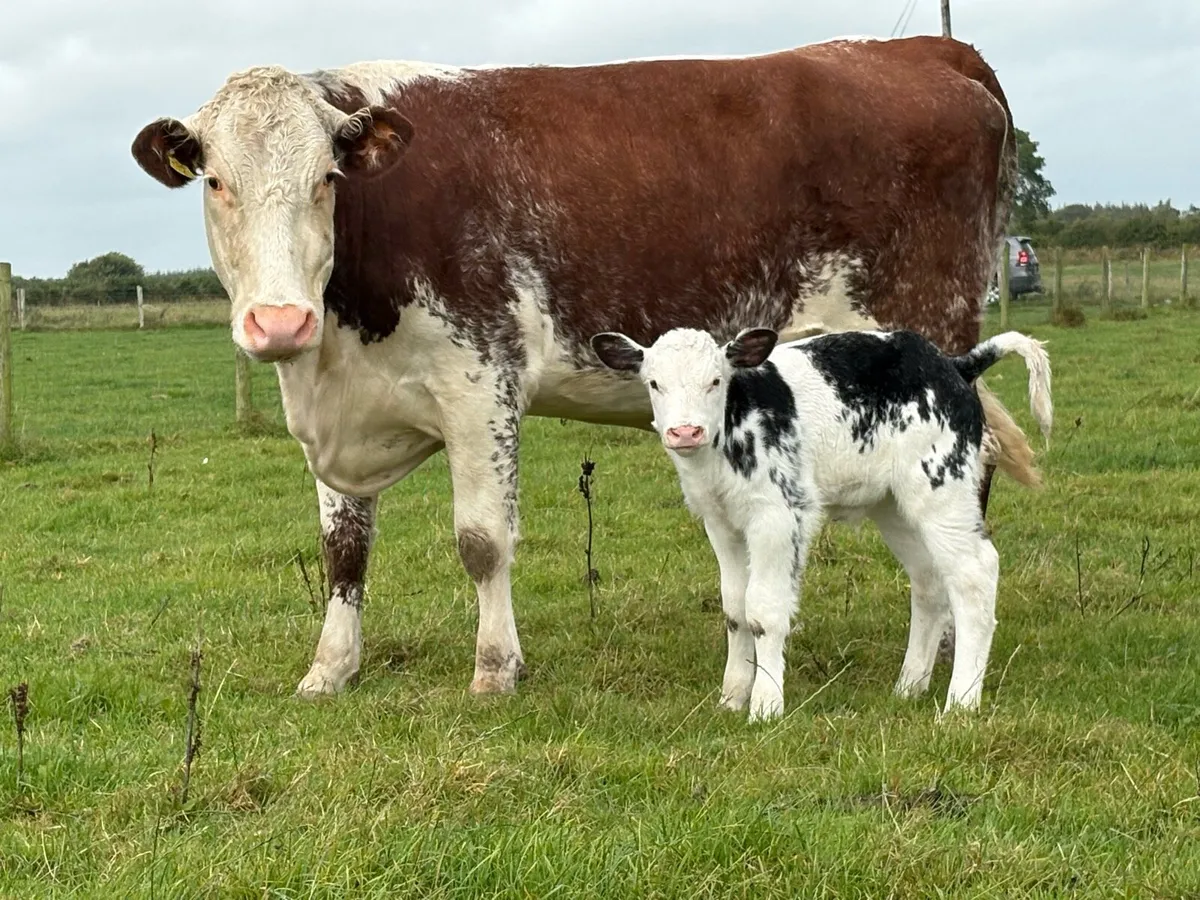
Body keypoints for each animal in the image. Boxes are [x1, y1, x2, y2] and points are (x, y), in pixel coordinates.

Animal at [590, 324, 1053, 720]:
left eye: (716, 381)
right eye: (654, 383)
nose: (685, 432)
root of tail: (955, 364)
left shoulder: (778, 514)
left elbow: (764, 610)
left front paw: (765, 705)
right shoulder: (719, 521)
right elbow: (735, 608)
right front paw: (731, 697)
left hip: (941, 484)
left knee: (974, 574)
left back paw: (960, 702)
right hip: (894, 505)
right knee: (929, 582)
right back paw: (909, 686)